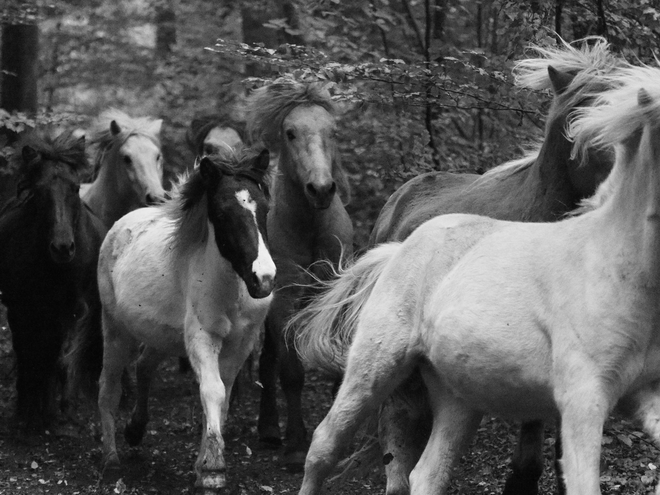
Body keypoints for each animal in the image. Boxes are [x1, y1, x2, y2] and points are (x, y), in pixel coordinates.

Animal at [95, 149, 276, 490]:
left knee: (144, 366)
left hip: (161, 336)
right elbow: (213, 391)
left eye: (265, 208)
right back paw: (110, 458)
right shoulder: (202, 339)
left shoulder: (240, 345)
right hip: (116, 331)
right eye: (223, 213)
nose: (264, 279)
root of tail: (119, 225)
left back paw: (135, 430)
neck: (232, 292)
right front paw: (213, 470)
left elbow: (222, 399)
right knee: (109, 387)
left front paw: (201, 466)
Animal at [245, 79, 354, 470]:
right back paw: (269, 430)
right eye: (290, 133)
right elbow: (291, 373)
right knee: (269, 363)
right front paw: (294, 444)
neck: (309, 228)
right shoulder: (284, 301)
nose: (321, 189)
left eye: (333, 132)